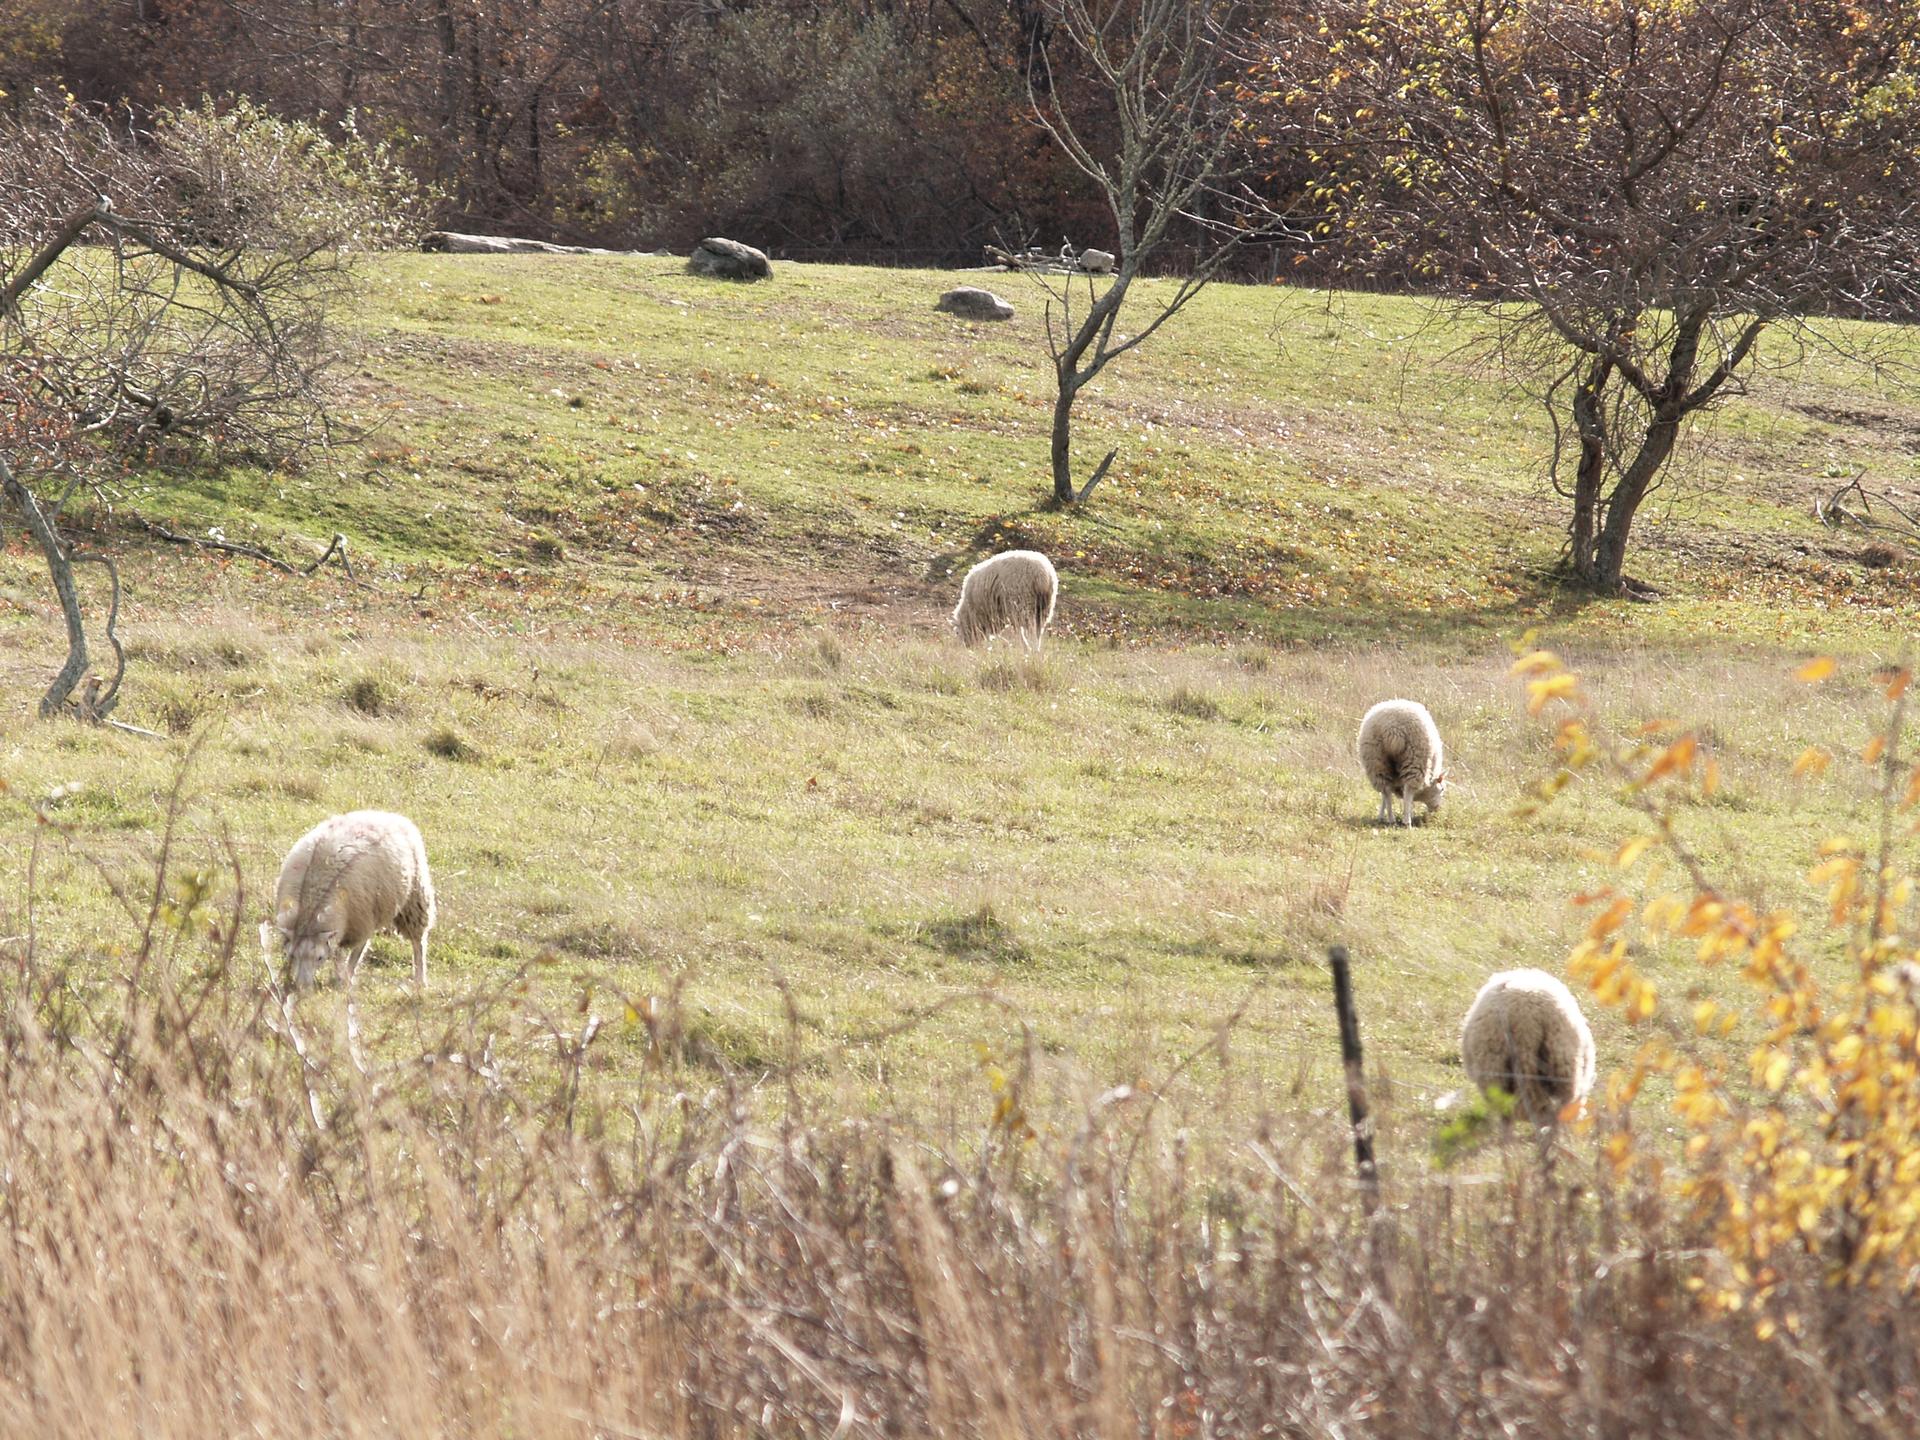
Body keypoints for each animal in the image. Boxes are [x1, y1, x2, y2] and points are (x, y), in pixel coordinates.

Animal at [265, 810, 436, 991]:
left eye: (319, 958)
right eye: (291, 956)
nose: (302, 987)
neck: (311, 903)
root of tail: (386, 814)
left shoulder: (359, 923)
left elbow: (351, 954)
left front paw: (344, 981)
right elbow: (337, 952)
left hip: (414, 900)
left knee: (418, 942)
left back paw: (420, 979)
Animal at [1356, 698, 1447, 826]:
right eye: (1442, 789)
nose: (1437, 809)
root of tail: (1392, 729)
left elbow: (1384, 797)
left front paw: (1380, 816)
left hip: (1376, 760)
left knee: (1386, 790)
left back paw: (1391, 819)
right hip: (1416, 759)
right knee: (1408, 791)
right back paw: (1407, 821)